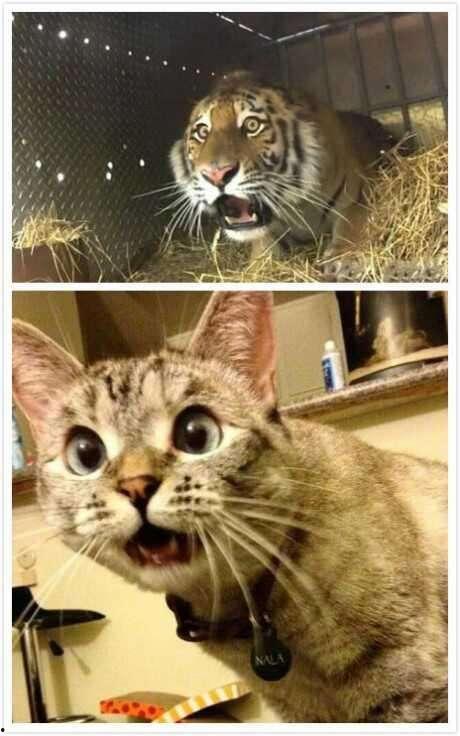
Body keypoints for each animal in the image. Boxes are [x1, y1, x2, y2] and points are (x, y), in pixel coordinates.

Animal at [169, 70, 396, 274]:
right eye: (202, 132)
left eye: (252, 125)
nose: (216, 174)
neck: (298, 207)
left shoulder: (359, 197)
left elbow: (350, 227)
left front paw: (343, 260)